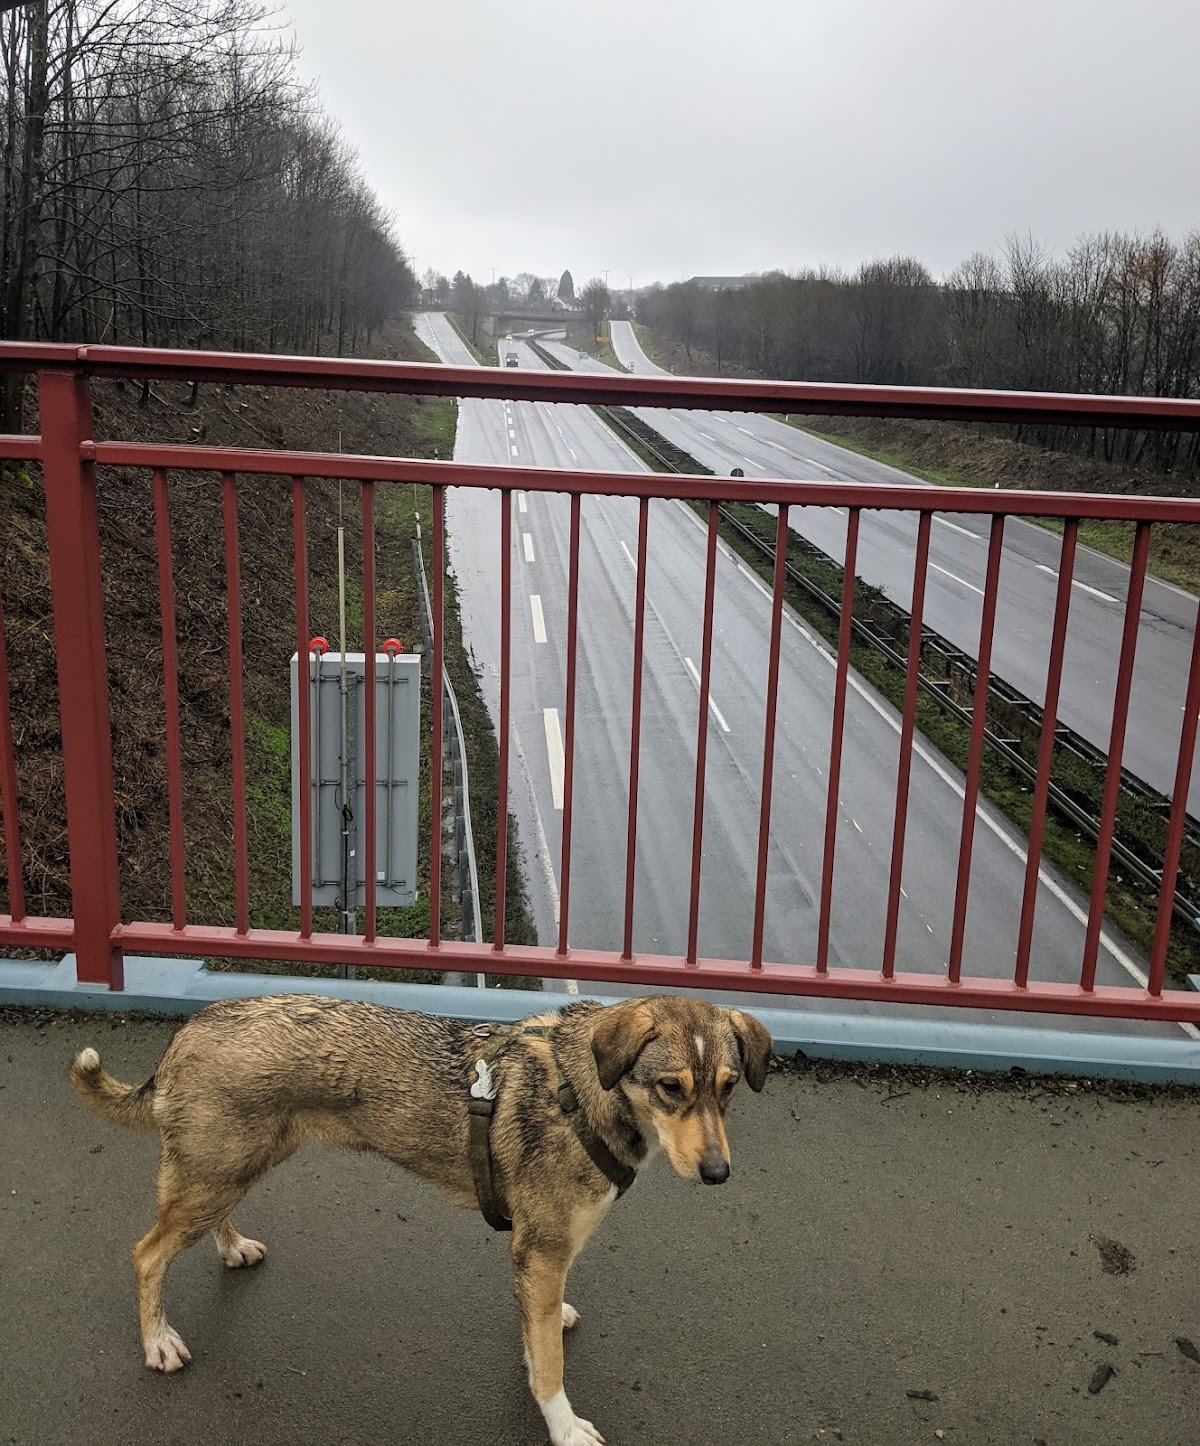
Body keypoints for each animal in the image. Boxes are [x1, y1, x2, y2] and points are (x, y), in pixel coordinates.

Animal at [70, 992, 771, 1446]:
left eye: (729, 1086)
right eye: (671, 1088)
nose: (718, 1173)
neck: (585, 1090)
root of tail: (190, 1028)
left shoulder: (534, 1261)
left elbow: (536, 1334)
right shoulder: (541, 1252)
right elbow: (549, 1368)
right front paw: (565, 1427)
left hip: (235, 1168)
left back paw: (232, 1246)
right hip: (216, 1176)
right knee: (147, 1254)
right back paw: (158, 1341)